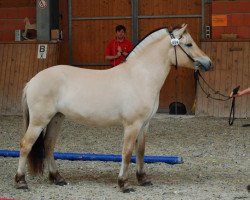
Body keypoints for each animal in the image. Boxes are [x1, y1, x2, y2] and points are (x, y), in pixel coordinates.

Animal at [14, 24, 212, 192]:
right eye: (189, 44)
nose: (208, 63)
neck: (140, 76)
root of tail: (32, 80)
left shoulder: (145, 124)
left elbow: (141, 152)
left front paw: (143, 179)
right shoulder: (132, 125)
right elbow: (127, 152)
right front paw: (124, 184)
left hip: (56, 118)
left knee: (48, 145)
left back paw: (57, 178)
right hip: (39, 121)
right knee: (26, 145)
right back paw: (21, 182)